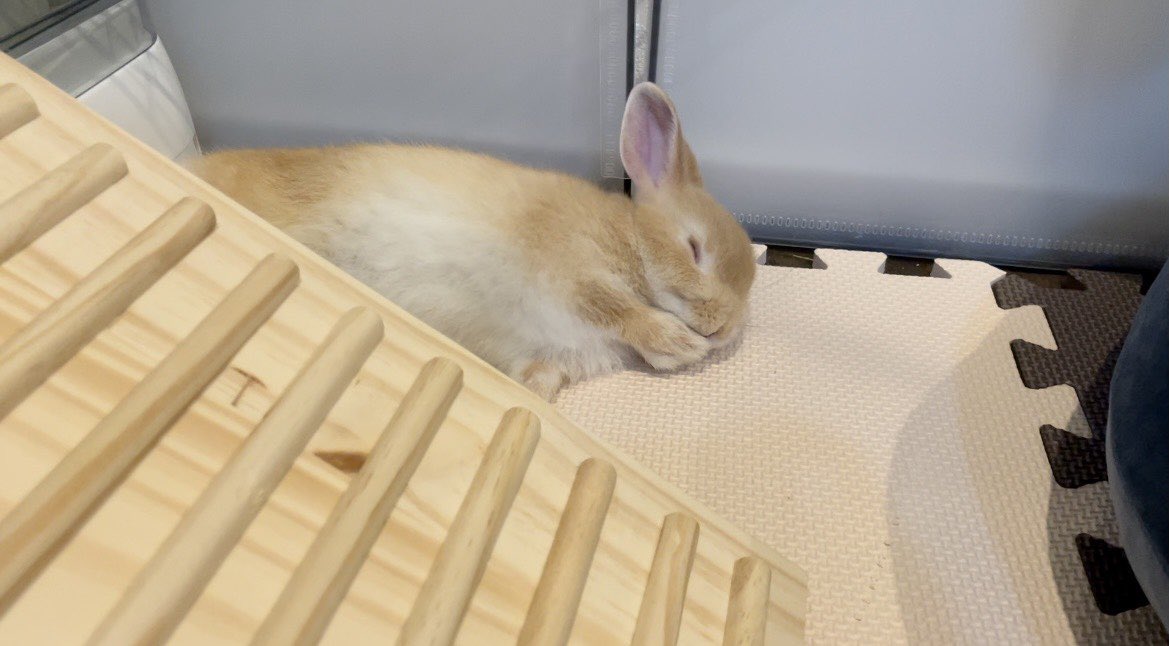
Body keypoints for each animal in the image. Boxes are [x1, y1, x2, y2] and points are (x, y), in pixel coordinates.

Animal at [189, 82, 756, 400]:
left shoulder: (545, 356)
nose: (723, 329)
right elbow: (618, 309)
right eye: (694, 248)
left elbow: (535, 381)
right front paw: (678, 344)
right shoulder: (573, 271)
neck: (632, 242)